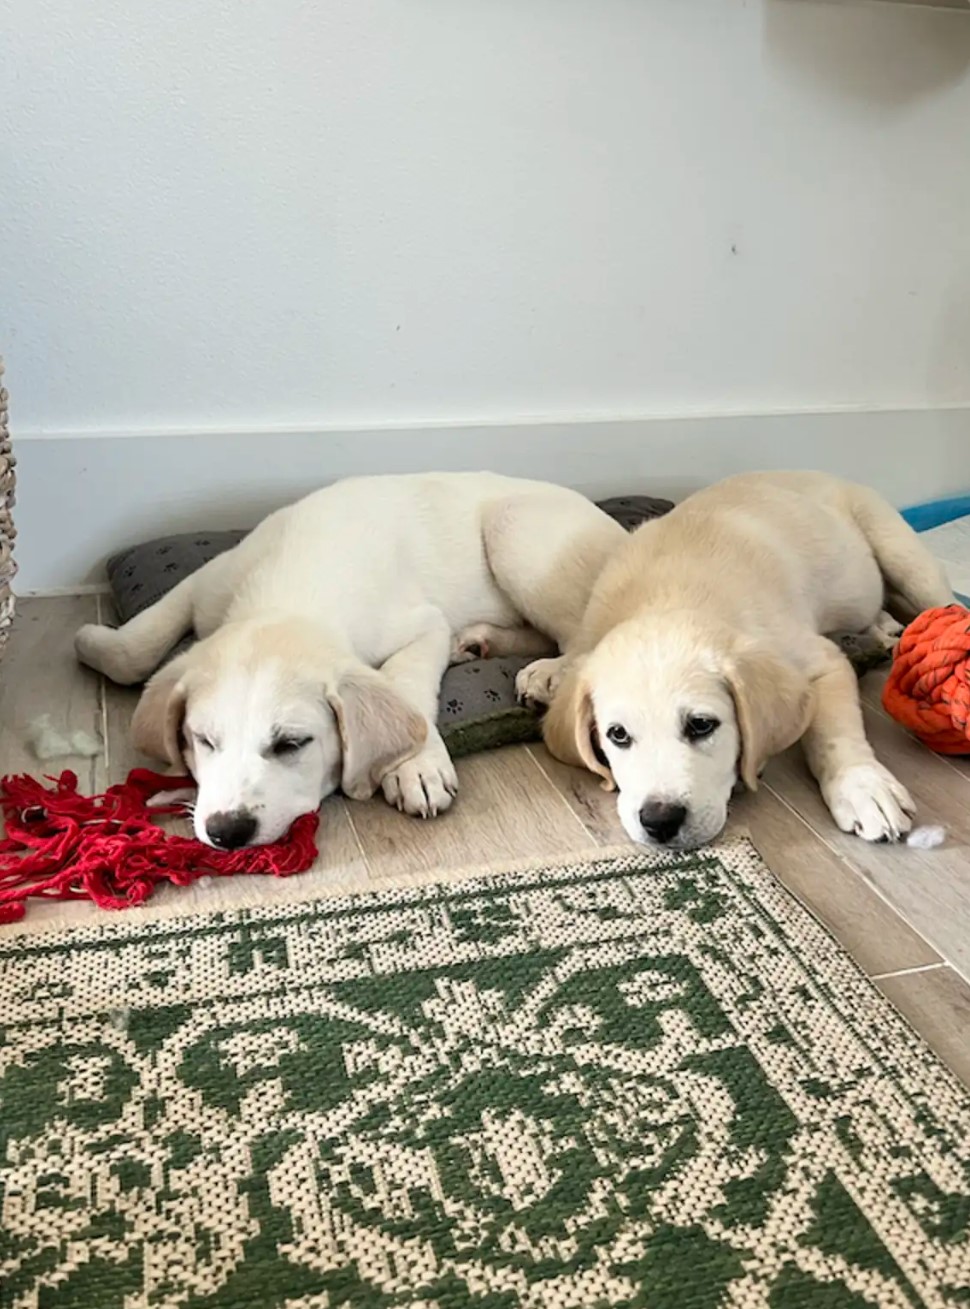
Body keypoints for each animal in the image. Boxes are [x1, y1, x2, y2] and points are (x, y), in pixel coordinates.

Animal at [75, 471, 620, 848]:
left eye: (292, 744)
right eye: (202, 740)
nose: (226, 831)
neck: (291, 588)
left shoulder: (422, 624)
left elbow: (405, 684)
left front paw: (415, 766)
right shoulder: (207, 580)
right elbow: (136, 646)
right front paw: (92, 642)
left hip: (513, 529)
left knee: (589, 635)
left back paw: (547, 675)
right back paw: (479, 642)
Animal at [520, 471, 952, 848]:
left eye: (701, 725)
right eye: (618, 735)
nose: (660, 821)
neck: (667, 594)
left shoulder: (821, 660)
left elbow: (832, 733)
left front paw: (863, 786)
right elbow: (577, 653)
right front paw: (551, 671)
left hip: (901, 551)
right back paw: (884, 628)